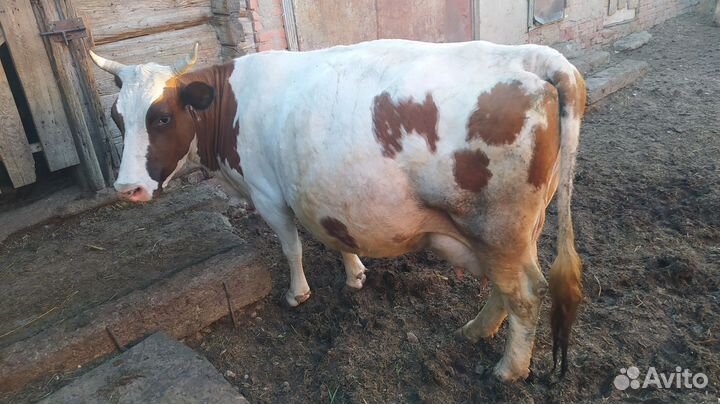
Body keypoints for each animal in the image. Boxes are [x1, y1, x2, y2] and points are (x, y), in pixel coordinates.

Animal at [89, 39, 586, 382]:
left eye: (162, 118)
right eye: (117, 118)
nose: (127, 188)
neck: (230, 105)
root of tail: (536, 59)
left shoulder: (268, 195)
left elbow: (292, 249)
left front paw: (297, 294)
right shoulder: (323, 193)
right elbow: (334, 235)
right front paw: (355, 273)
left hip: (497, 227)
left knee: (526, 293)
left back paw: (508, 369)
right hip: (514, 230)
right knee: (507, 289)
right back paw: (475, 330)